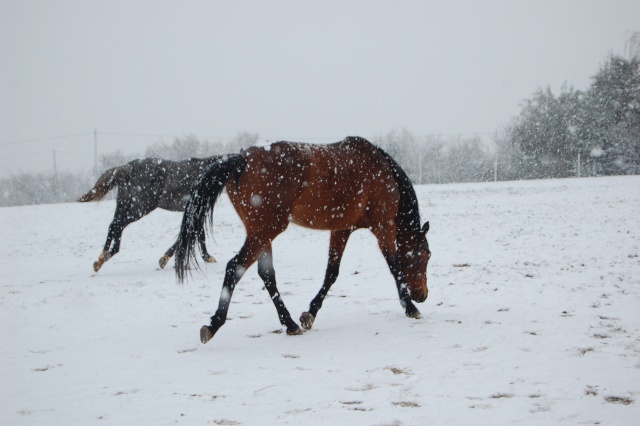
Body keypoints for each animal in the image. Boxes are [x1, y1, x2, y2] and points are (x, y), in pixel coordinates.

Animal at [79, 157, 222, 272]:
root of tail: (128, 167)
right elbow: (194, 234)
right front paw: (164, 260)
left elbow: (198, 234)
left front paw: (207, 257)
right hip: (139, 209)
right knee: (116, 226)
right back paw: (104, 257)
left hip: (124, 207)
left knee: (114, 226)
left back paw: (101, 259)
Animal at [176, 138, 430, 344]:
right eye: (426, 255)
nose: (423, 295)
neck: (382, 171)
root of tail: (242, 159)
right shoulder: (383, 225)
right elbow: (395, 267)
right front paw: (410, 307)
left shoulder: (341, 229)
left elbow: (332, 273)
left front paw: (310, 314)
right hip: (265, 231)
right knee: (234, 267)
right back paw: (213, 324)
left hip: (261, 233)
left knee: (266, 275)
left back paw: (290, 324)